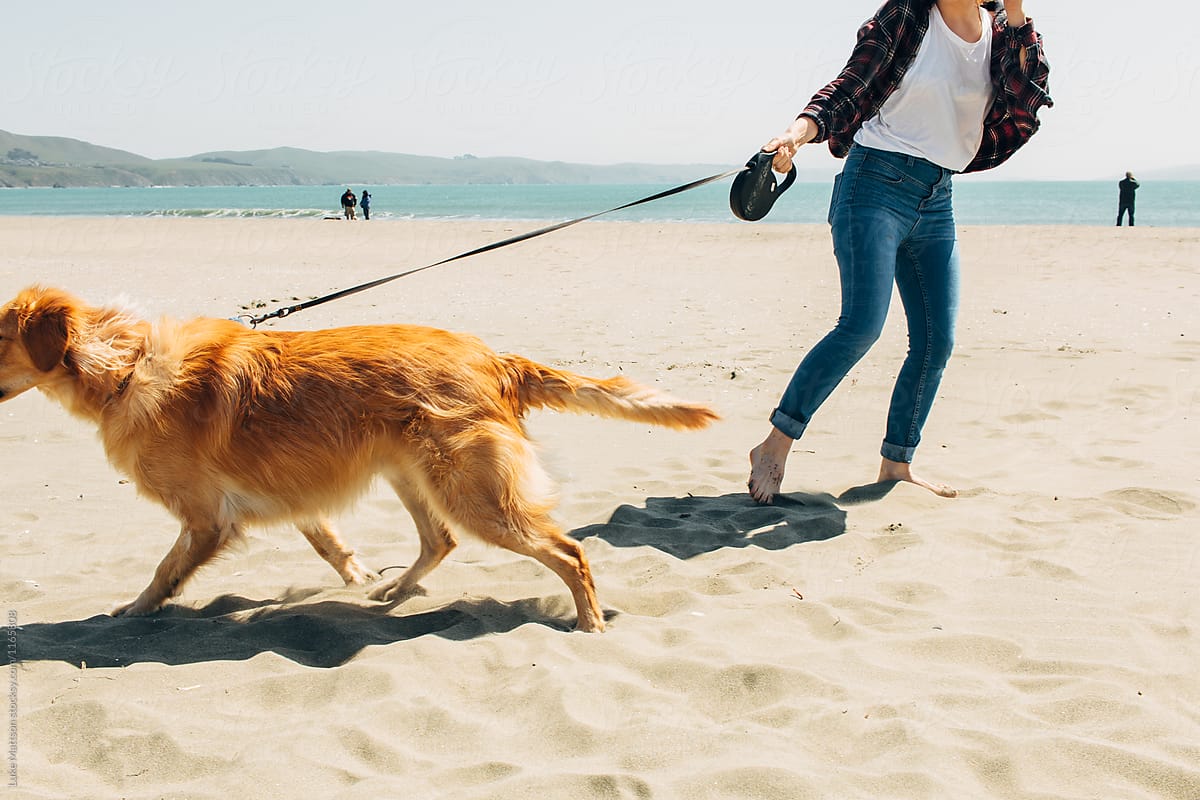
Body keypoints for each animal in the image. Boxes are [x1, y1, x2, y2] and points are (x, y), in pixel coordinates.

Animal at [0, 286, 710, 633]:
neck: (125, 367)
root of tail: (494, 359)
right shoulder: (290, 495)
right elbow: (329, 544)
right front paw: (358, 576)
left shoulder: (205, 518)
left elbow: (163, 572)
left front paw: (133, 612)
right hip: (412, 475)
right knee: (440, 541)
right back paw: (396, 590)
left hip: (473, 493)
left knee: (570, 553)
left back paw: (589, 625)